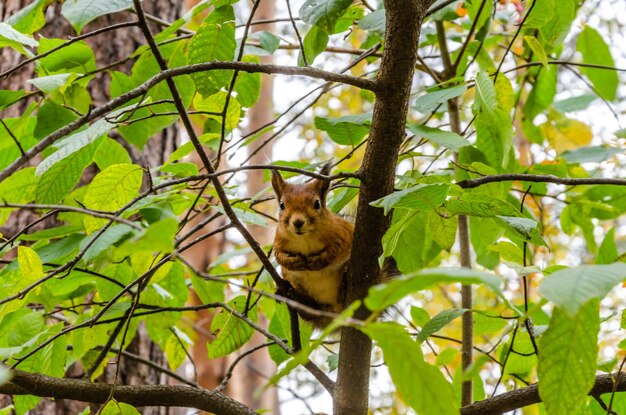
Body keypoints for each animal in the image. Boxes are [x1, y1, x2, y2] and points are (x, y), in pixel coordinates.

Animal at [270, 164, 354, 326]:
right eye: (282, 205)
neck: (304, 238)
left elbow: (337, 249)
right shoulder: (278, 241)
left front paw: (319, 261)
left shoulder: (343, 234)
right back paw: (295, 298)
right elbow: (279, 256)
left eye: (317, 204)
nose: (298, 222)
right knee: (309, 313)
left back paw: (345, 281)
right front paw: (293, 262)